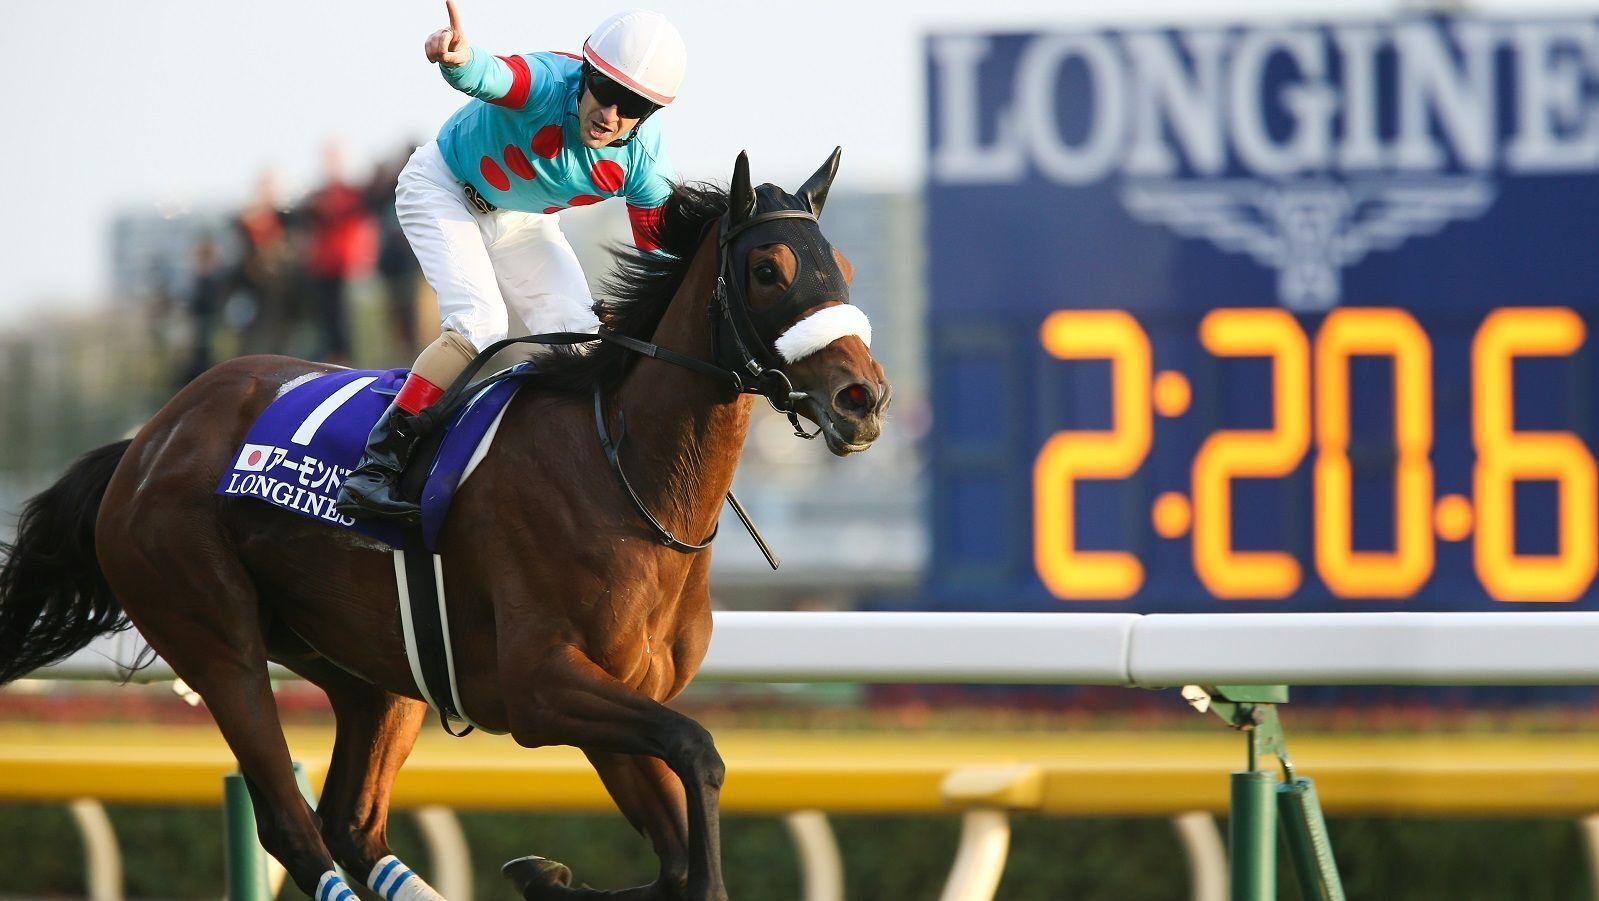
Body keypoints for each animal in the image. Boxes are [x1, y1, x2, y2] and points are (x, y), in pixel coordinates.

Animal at [0, 149, 889, 901]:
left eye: (842, 267)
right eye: (768, 270)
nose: (863, 398)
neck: (623, 475)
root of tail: (146, 440)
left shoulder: (617, 694)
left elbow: (672, 843)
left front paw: (547, 873)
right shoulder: (543, 685)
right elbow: (697, 756)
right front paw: (557, 873)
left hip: (373, 670)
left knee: (351, 824)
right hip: (213, 636)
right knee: (292, 825)